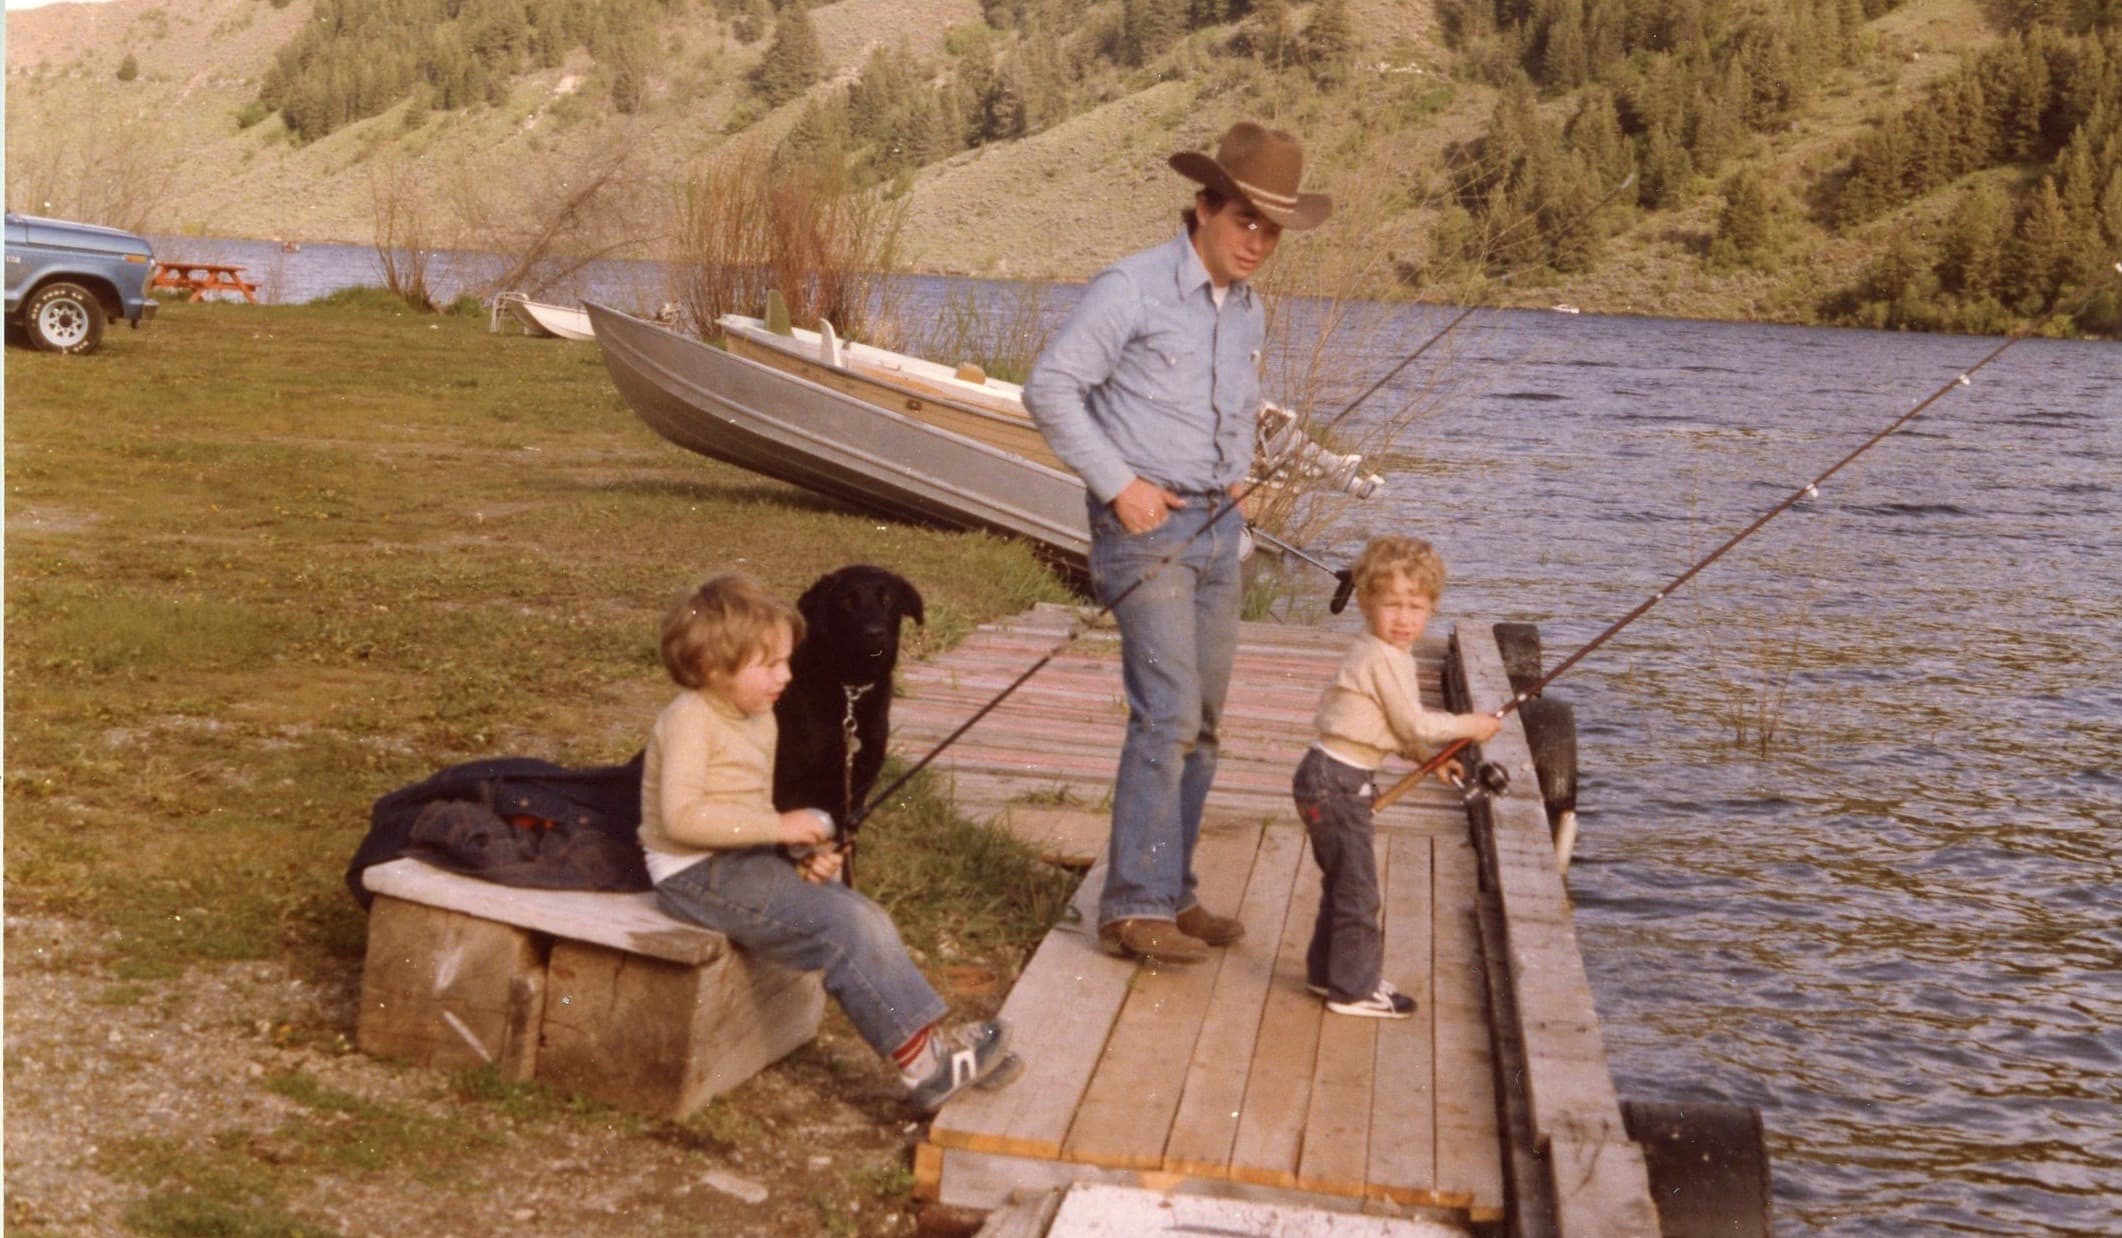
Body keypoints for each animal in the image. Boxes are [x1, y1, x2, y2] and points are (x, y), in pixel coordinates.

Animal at [772, 564, 920, 828]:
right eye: (847, 602)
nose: (875, 634)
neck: (851, 688)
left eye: (888, 599)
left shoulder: (856, 788)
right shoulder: (792, 784)